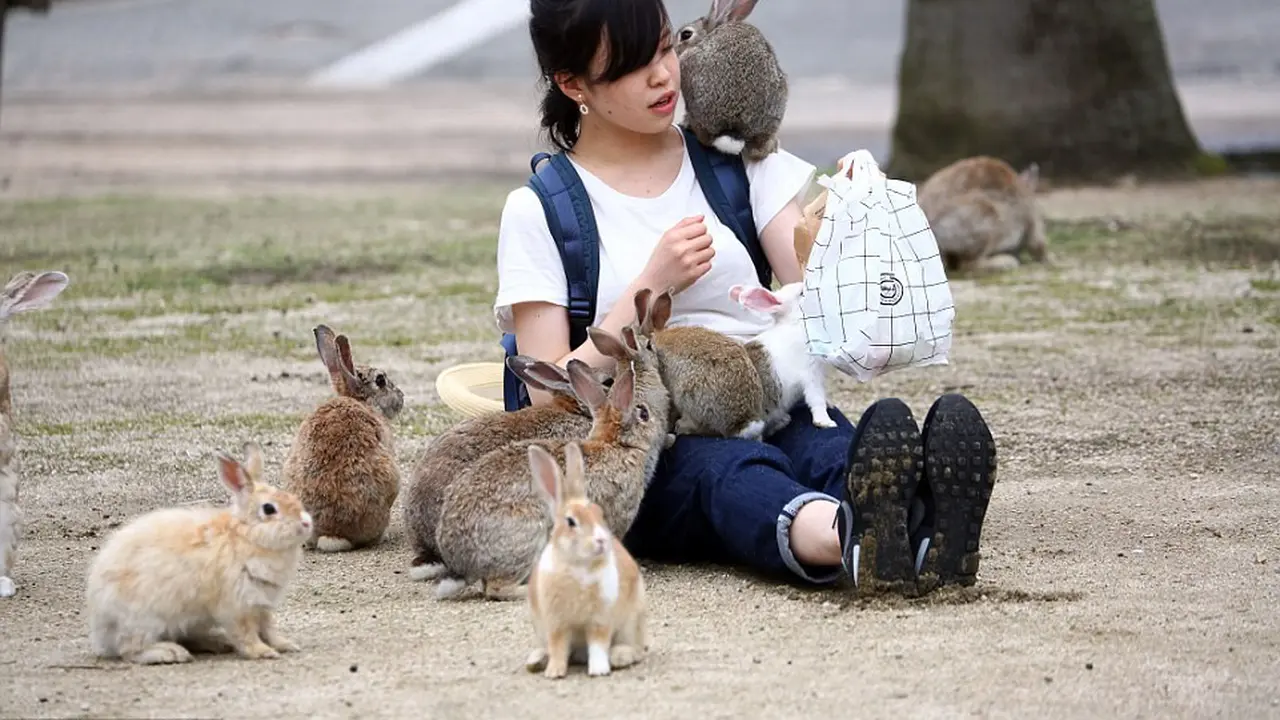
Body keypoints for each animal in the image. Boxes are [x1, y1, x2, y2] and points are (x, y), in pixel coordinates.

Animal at [85, 442, 312, 665]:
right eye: (269, 509)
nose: (306, 523)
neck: (246, 535)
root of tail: (100, 629)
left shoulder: (263, 604)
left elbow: (269, 628)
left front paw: (286, 645)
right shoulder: (237, 605)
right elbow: (246, 634)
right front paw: (263, 652)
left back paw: (217, 643)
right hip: (144, 620)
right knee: (130, 650)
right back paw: (171, 653)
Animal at [523, 441, 649, 679]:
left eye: (600, 514)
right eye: (571, 522)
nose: (601, 540)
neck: (578, 568)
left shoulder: (600, 619)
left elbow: (598, 645)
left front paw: (599, 670)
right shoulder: (556, 623)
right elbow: (558, 647)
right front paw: (554, 672)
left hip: (631, 621)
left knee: (636, 650)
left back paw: (618, 657)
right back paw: (535, 661)